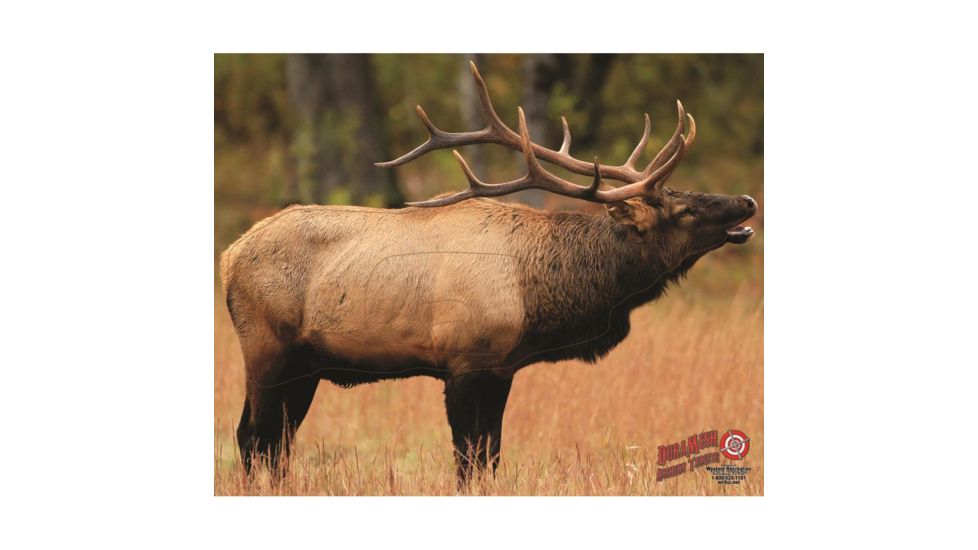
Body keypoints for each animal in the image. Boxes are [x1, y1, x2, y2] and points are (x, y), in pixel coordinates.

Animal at [220, 62, 757, 485]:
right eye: (683, 209)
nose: (748, 200)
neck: (536, 295)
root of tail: (227, 256)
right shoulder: (463, 361)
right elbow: (467, 460)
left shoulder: (502, 368)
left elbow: (489, 458)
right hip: (266, 347)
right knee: (251, 436)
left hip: (306, 366)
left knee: (278, 442)